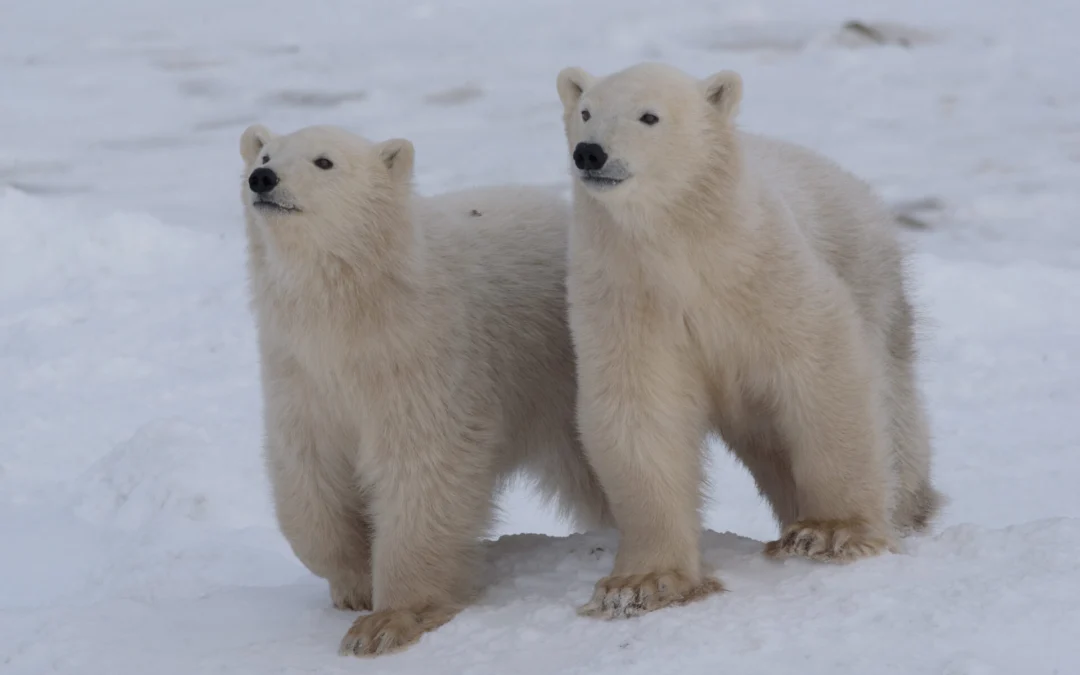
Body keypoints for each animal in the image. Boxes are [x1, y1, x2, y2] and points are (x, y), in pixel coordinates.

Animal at [238, 124, 612, 655]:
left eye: (324, 161)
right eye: (266, 154)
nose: (263, 179)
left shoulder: (422, 359)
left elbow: (422, 468)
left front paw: (386, 622)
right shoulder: (301, 374)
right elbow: (309, 475)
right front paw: (354, 582)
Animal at [554, 62, 943, 619]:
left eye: (649, 116)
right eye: (585, 111)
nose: (590, 152)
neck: (682, 243)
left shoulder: (763, 271)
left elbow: (821, 365)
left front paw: (832, 531)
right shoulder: (627, 300)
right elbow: (639, 411)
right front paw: (639, 583)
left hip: (871, 275)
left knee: (892, 402)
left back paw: (909, 506)